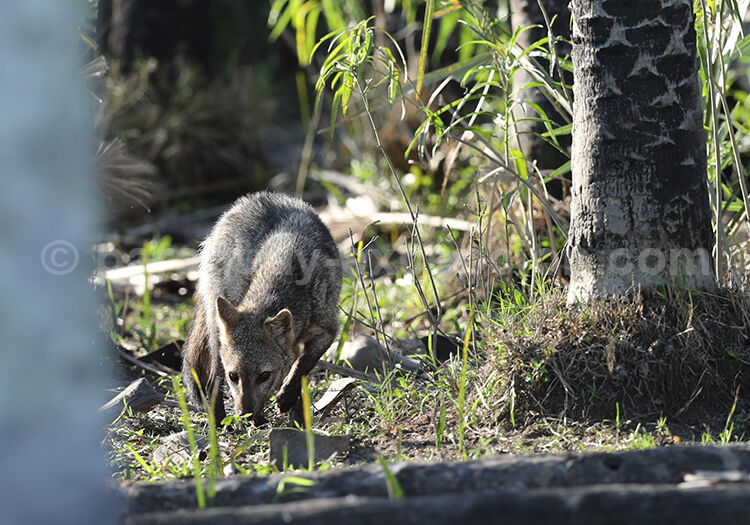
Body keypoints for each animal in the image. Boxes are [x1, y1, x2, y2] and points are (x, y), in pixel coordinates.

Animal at [181, 191, 342, 425]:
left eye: (264, 376)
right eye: (234, 376)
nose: (245, 413)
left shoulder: (327, 329)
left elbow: (303, 365)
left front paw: (288, 398)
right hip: (216, 330)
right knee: (212, 381)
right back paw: (220, 424)